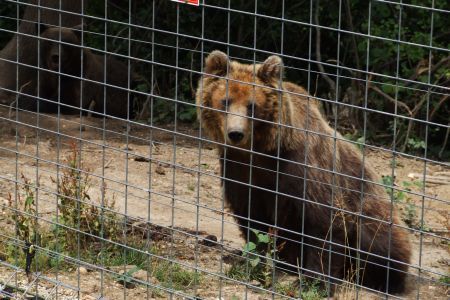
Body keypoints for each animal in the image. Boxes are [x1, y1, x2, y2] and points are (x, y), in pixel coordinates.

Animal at [195, 50, 414, 294]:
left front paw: (314, 281)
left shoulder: (303, 166)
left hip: (372, 205)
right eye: (225, 101)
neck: (263, 151)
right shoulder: (238, 169)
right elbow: (252, 216)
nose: (235, 133)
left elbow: (324, 220)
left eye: (252, 106)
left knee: (379, 238)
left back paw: (380, 279)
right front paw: (253, 262)